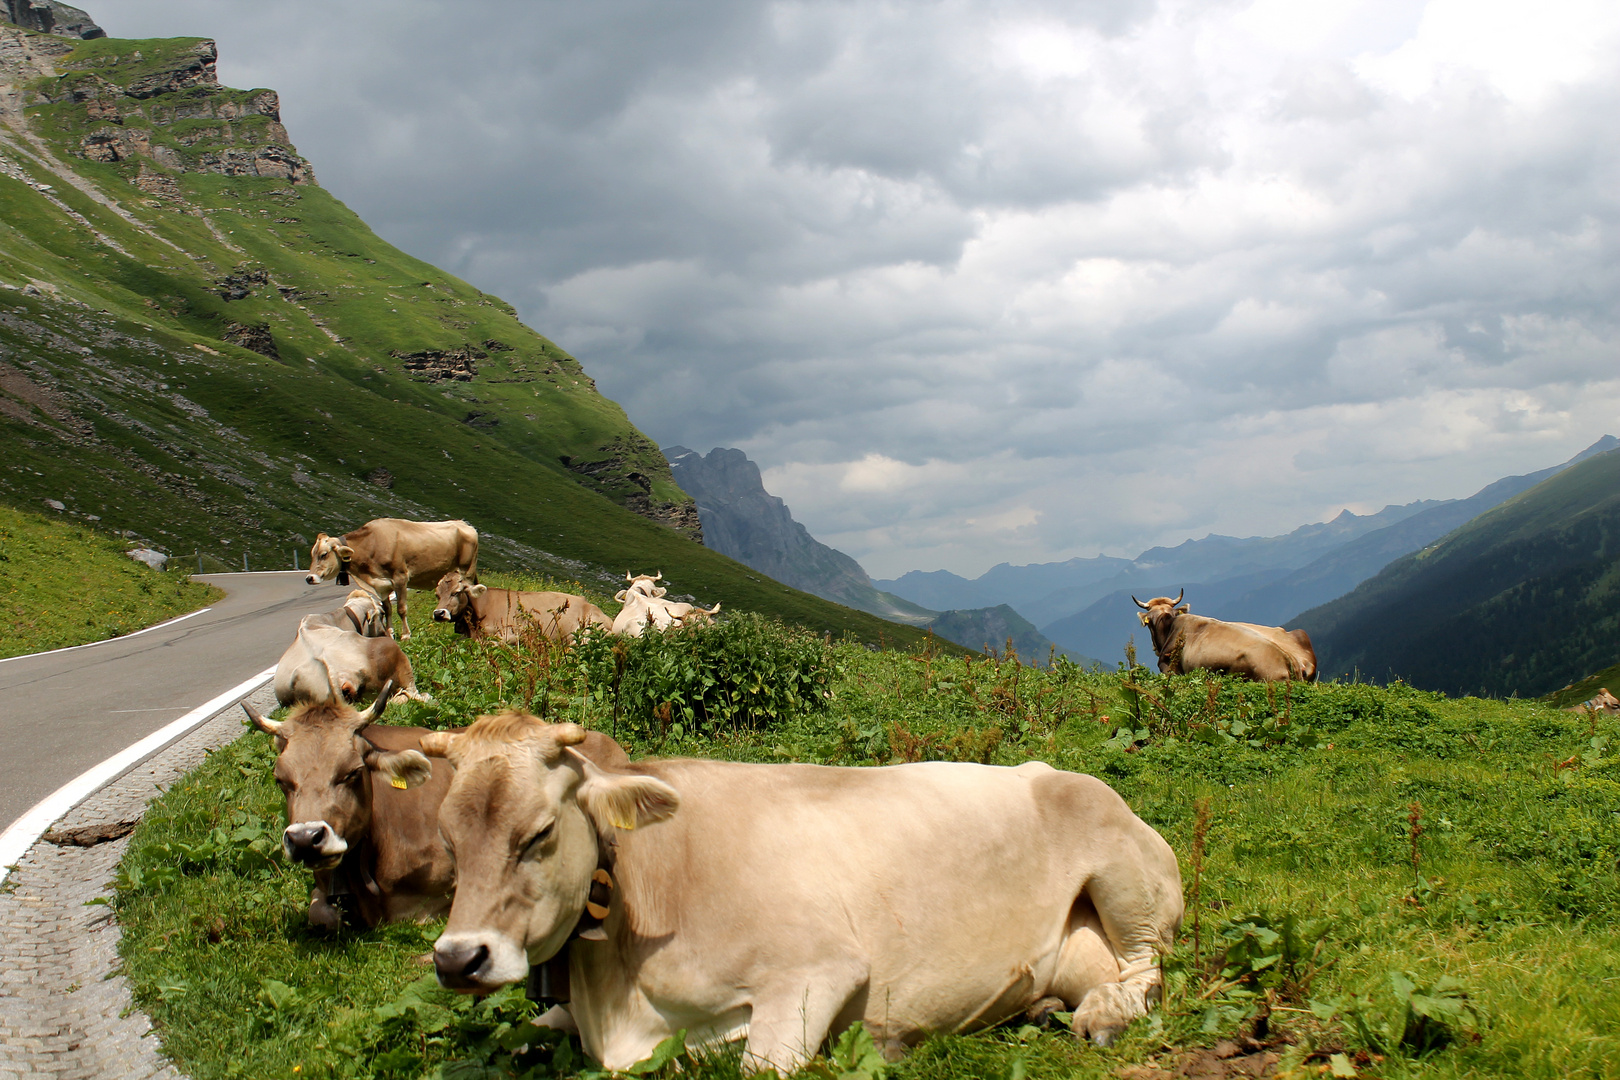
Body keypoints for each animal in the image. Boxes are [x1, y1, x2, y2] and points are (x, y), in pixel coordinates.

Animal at [304, 518, 476, 637]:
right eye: (312, 554)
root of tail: (465, 524)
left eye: (323, 554)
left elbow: (401, 608)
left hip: (466, 569)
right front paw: (390, 632)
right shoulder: (381, 586)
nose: (309, 578)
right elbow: (387, 609)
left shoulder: (400, 578)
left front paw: (406, 635)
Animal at [387, 709, 1185, 1075]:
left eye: (541, 833)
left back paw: (1105, 1014)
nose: (458, 959)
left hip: (1125, 877)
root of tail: (1053, 770)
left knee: (1148, 968)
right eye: (451, 841)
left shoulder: (818, 970)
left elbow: (758, 1065)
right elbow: (527, 1033)